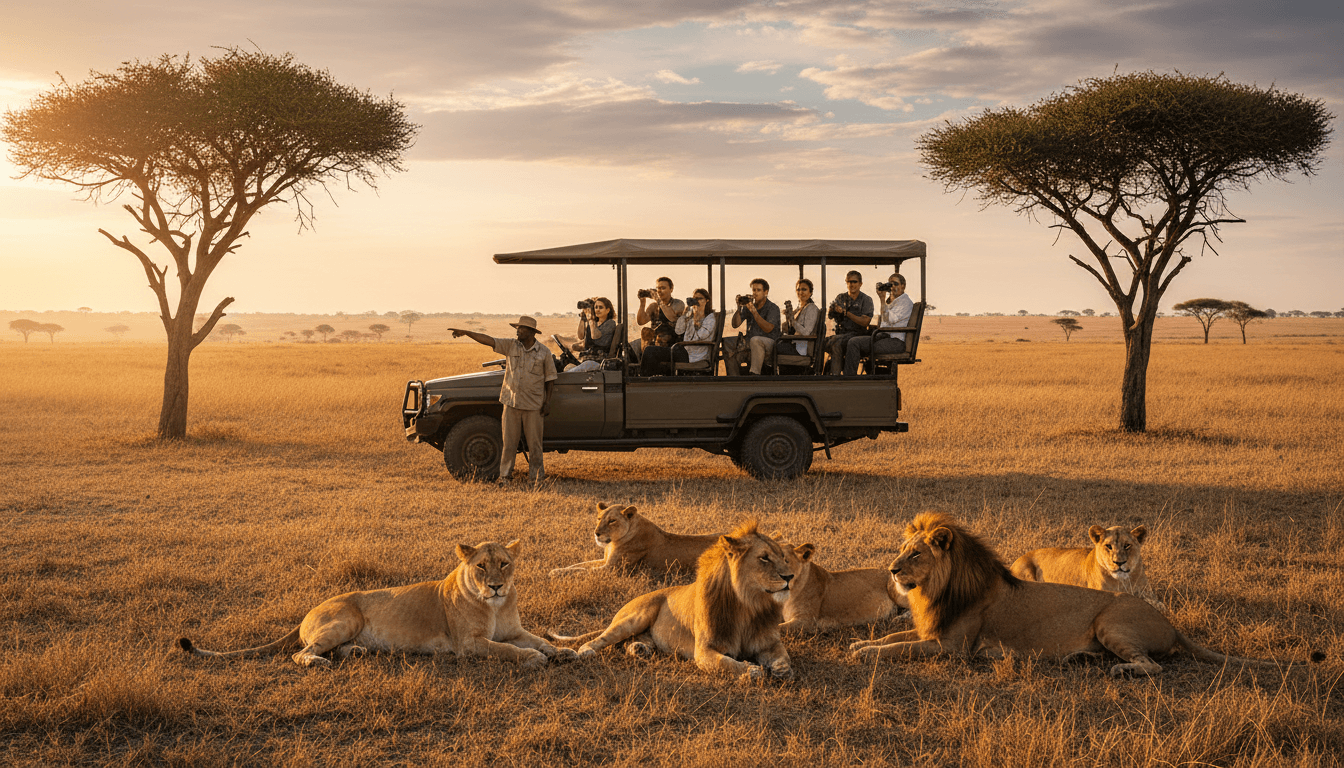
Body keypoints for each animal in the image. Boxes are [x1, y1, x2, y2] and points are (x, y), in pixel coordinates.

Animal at [179, 540, 574, 669]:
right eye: (480, 566)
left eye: (504, 564)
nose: (495, 585)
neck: (495, 606)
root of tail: (309, 610)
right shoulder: (469, 644)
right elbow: (507, 650)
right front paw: (534, 659)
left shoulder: (515, 630)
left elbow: (539, 639)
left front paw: (562, 651)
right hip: (345, 620)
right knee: (299, 653)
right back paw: (318, 663)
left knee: (331, 649)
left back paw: (359, 652)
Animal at [548, 502, 723, 578]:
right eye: (598, 518)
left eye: (612, 521)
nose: (596, 533)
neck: (613, 542)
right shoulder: (605, 561)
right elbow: (579, 565)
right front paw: (558, 569)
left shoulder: (612, 569)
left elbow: (582, 571)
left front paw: (555, 573)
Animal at [550, 520, 796, 681]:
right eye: (764, 558)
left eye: (783, 556)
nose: (790, 576)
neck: (748, 605)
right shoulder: (703, 651)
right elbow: (726, 663)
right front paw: (751, 670)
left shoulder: (769, 643)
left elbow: (784, 657)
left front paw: (782, 670)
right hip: (634, 618)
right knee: (598, 640)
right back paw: (585, 652)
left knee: (634, 641)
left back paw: (639, 649)